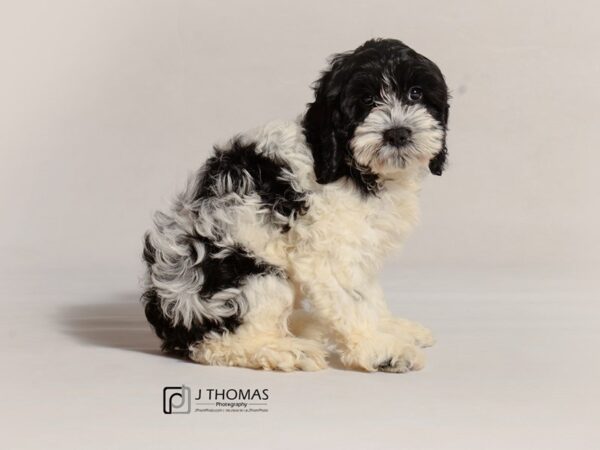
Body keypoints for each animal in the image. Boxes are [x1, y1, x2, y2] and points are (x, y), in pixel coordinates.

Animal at [142, 38, 450, 370]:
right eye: (366, 100)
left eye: (415, 93)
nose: (397, 133)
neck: (349, 167)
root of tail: (170, 320)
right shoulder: (329, 253)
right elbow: (353, 299)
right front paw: (380, 349)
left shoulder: (361, 247)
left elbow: (369, 293)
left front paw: (390, 328)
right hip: (251, 275)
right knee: (220, 344)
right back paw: (283, 349)